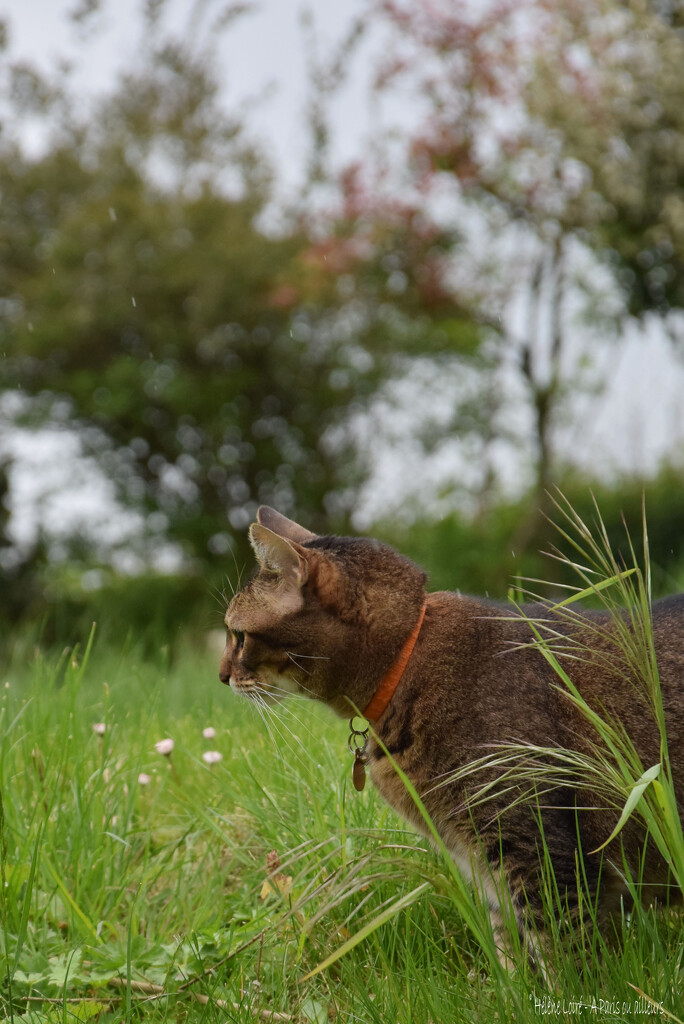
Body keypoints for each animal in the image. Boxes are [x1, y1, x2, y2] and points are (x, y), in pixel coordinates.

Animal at [220, 507, 684, 970]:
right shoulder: (485, 865)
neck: (407, 661)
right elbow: (510, 950)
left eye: (238, 636)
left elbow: (563, 956)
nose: (222, 676)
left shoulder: (536, 848)